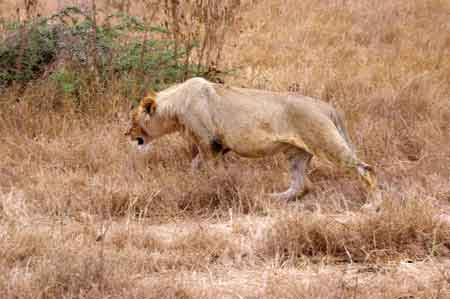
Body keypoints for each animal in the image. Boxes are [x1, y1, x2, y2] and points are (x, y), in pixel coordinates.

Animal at [125, 77, 374, 200]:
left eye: (134, 119)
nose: (127, 134)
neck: (177, 104)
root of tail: (327, 107)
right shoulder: (220, 145)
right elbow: (195, 164)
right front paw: (195, 180)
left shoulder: (209, 143)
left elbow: (210, 168)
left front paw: (215, 186)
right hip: (296, 154)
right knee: (301, 186)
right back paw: (273, 197)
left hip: (326, 142)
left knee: (366, 169)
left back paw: (372, 206)